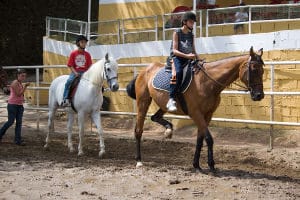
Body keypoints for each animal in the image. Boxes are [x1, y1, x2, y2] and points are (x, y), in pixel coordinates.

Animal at [126, 47, 264, 172]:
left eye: (262, 71)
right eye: (254, 69)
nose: (259, 95)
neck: (207, 82)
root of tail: (144, 71)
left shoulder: (207, 115)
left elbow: (200, 139)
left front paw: (197, 165)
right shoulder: (196, 114)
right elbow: (209, 138)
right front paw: (211, 165)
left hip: (163, 105)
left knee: (155, 117)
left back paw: (169, 130)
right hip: (143, 102)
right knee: (138, 130)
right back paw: (139, 161)